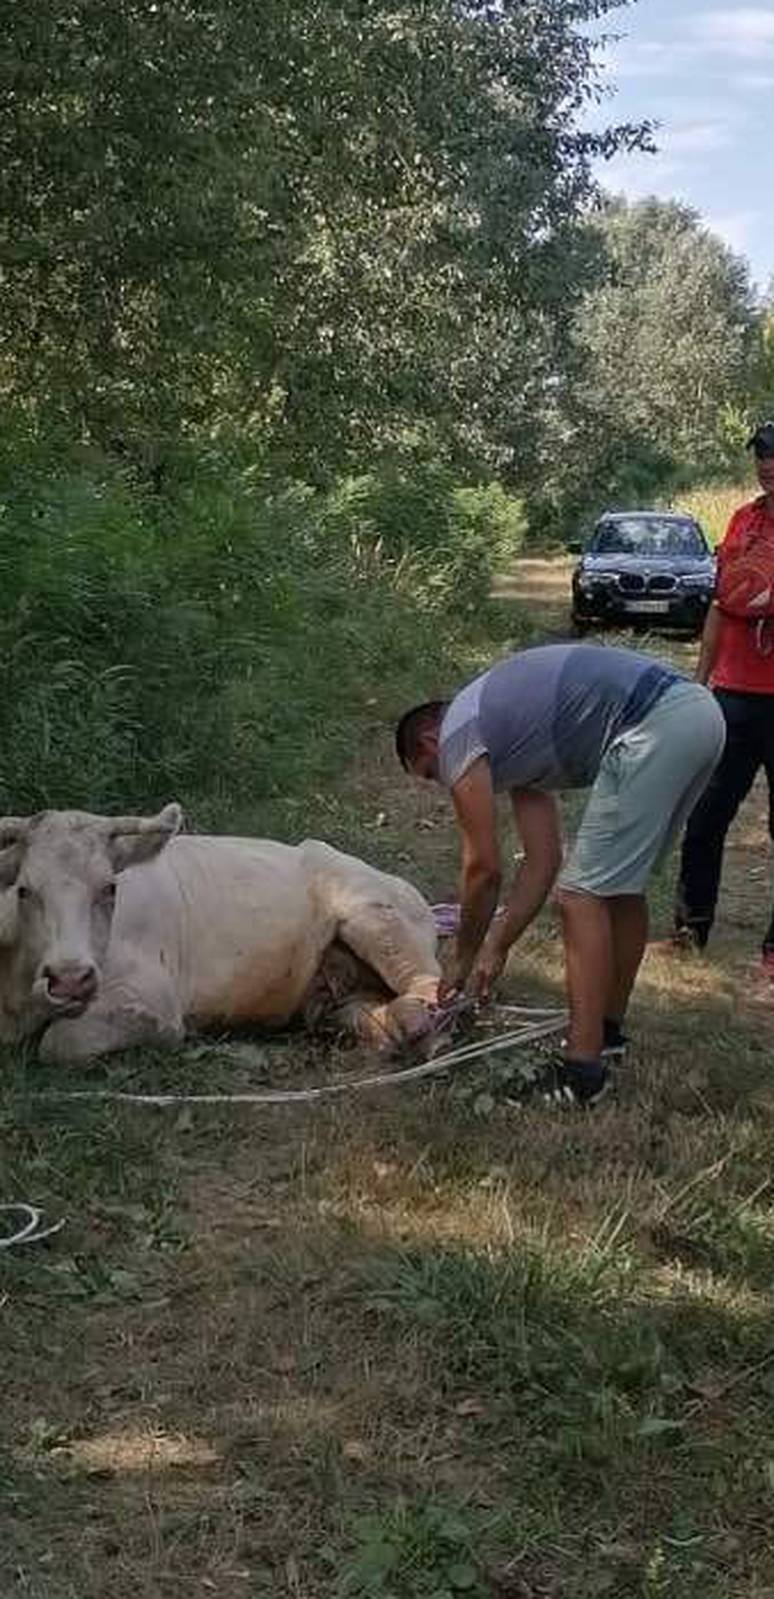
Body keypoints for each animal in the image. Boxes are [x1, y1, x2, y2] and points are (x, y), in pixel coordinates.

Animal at [0, 812, 441, 1061]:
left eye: (110, 887)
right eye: (24, 890)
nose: (70, 979)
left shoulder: (154, 998)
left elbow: (58, 1044)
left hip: (374, 914)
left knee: (430, 987)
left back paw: (426, 1028)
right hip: (336, 994)